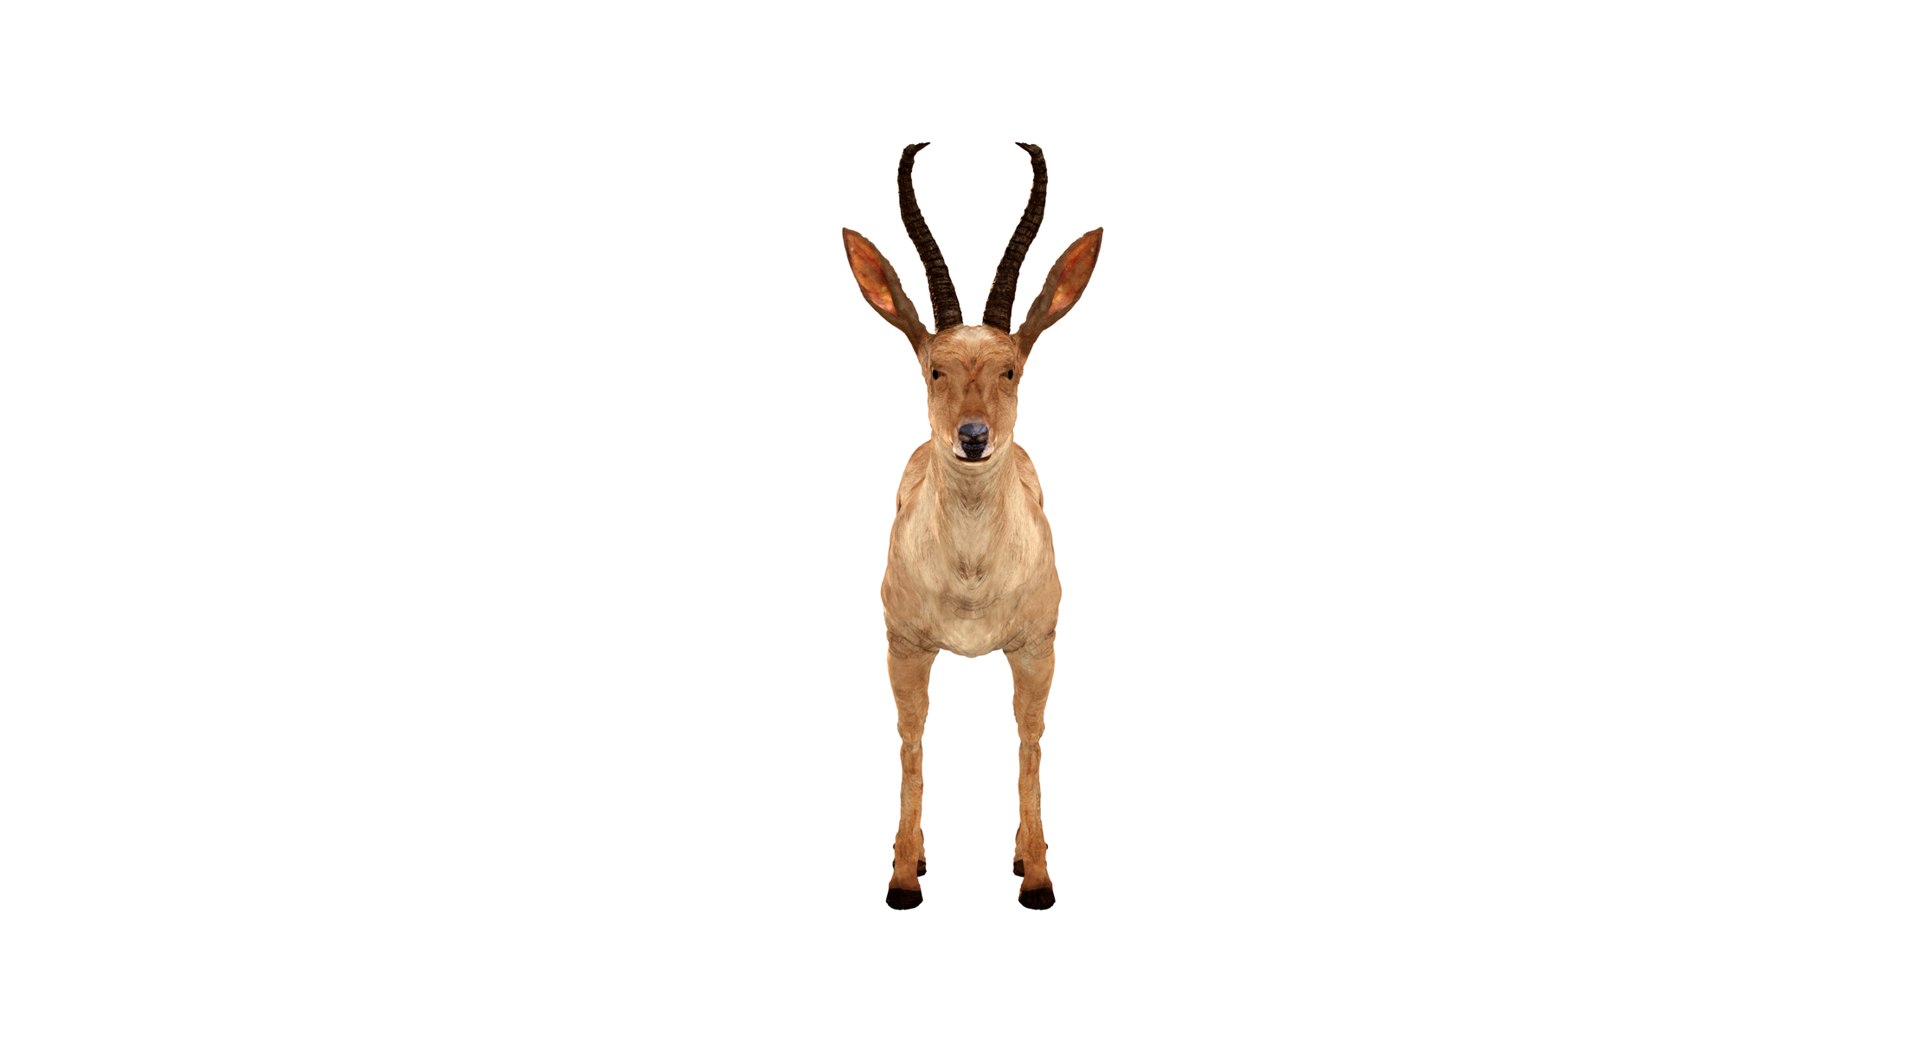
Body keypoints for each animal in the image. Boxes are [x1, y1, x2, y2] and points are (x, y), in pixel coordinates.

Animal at [841, 143, 1101, 911]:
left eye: (1011, 368)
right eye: (935, 367)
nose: (974, 436)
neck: (971, 581)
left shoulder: (1037, 647)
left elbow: (1030, 739)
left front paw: (1037, 878)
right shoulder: (904, 647)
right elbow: (911, 739)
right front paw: (903, 879)